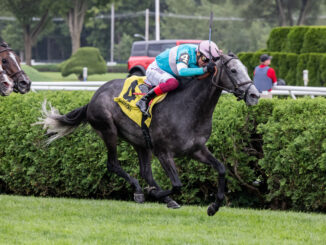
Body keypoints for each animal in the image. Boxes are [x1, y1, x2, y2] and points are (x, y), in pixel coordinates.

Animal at [35, 54, 260, 216]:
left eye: (245, 69)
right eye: (233, 70)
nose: (254, 95)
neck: (189, 108)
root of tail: (93, 97)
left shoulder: (196, 149)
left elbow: (221, 169)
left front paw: (214, 206)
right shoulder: (163, 151)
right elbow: (177, 184)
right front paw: (155, 193)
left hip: (141, 143)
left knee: (145, 172)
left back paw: (161, 197)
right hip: (109, 131)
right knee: (113, 164)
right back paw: (140, 191)